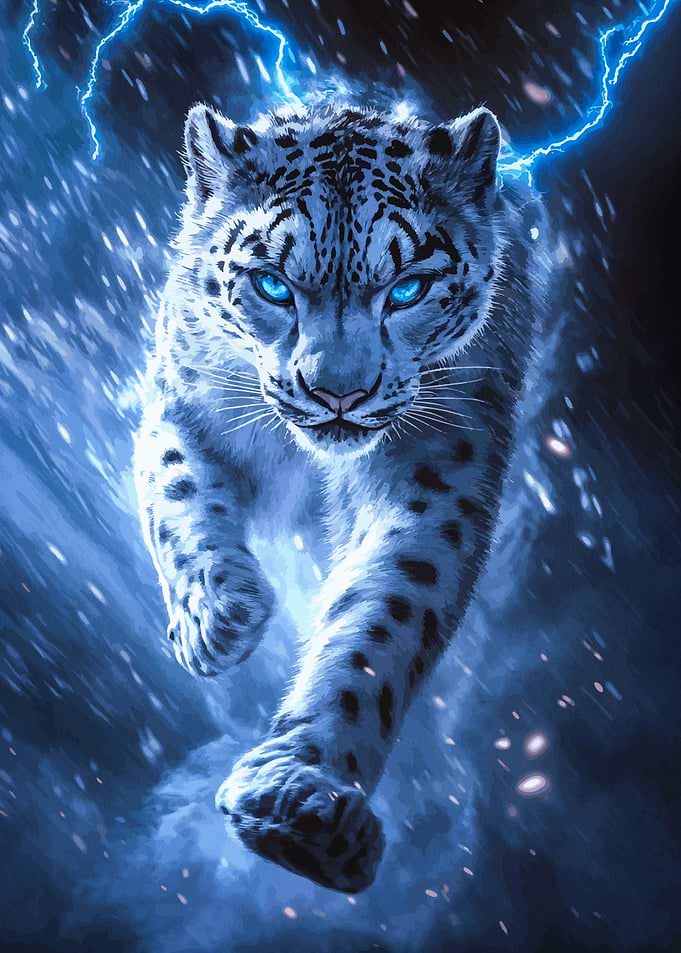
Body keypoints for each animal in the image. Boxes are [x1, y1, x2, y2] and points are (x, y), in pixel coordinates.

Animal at [133, 99, 550, 894]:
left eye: (408, 287)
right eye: (271, 283)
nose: (338, 393)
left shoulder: (437, 472)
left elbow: (382, 614)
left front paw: (301, 799)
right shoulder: (186, 403)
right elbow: (176, 494)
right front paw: (219, 615)